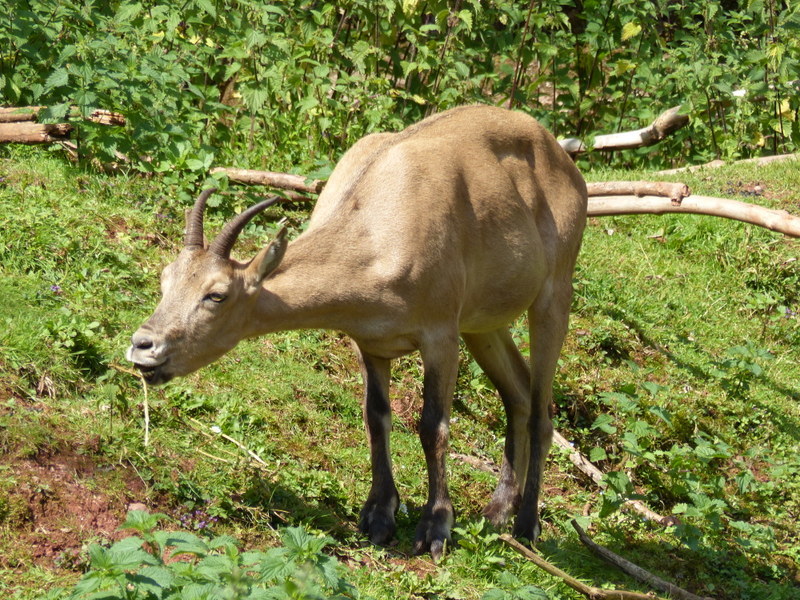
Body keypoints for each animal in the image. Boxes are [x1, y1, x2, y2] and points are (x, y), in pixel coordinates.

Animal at [126, 105, 588, 560]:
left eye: (216, 294)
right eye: (166, 278)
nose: (143, 347)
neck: (377, 230)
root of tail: (565, 161)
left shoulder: (440, 334)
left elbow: (433, 426)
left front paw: (435, 527)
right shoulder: (369, 340)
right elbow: (375, 416)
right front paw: (379, 515)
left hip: (553, 293)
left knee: (542, 409)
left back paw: (528, 524)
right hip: (483, 324)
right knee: (519, 394)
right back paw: (497, 512)